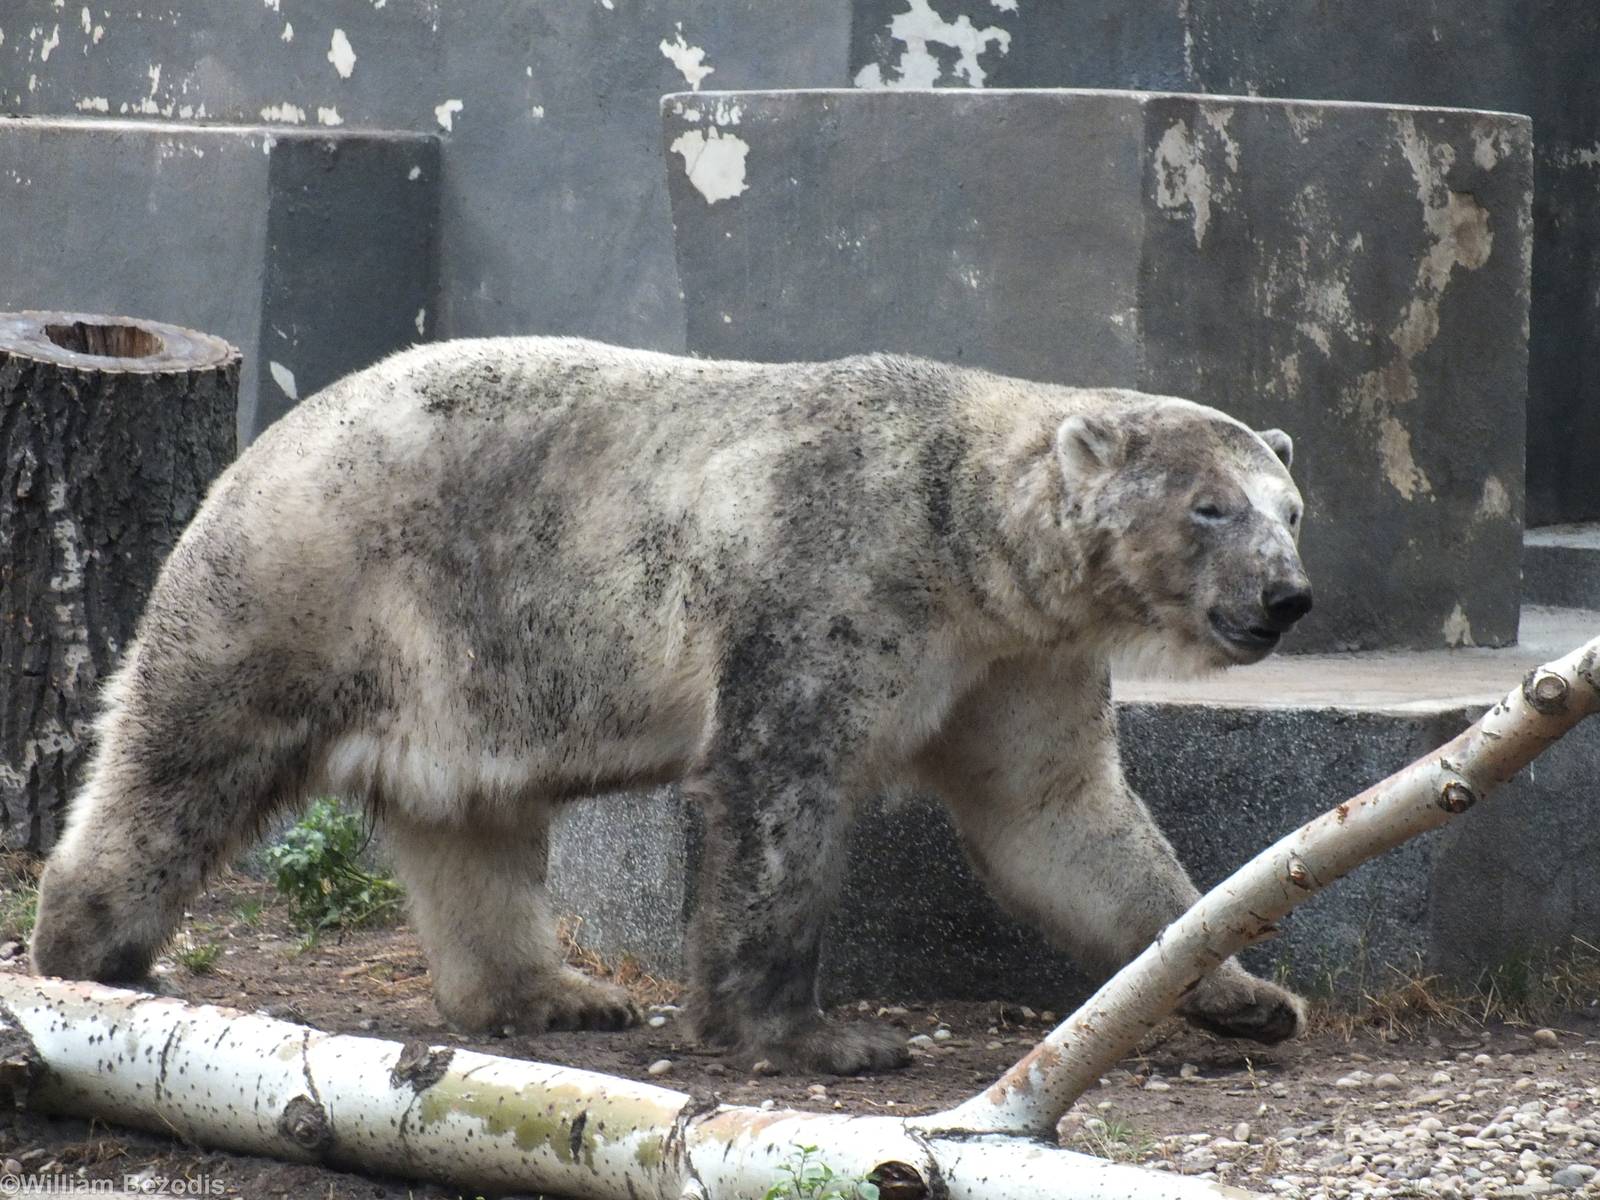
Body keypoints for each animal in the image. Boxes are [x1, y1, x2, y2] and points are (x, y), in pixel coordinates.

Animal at [29, 337, 1313, 1075]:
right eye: (1208, 506)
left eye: (1289, 507)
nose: (1286, 596)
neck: (961, 524)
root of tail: (261, 442)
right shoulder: (833, 576)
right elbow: (780, 789)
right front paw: (821, 1037)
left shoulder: (1014, 657)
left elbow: (1058, 816)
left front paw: (1247, 995)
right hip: (306, 581)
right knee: (185, 755)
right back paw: (98, 950)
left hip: (460, 664)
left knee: (473, 829)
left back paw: (556, 994)